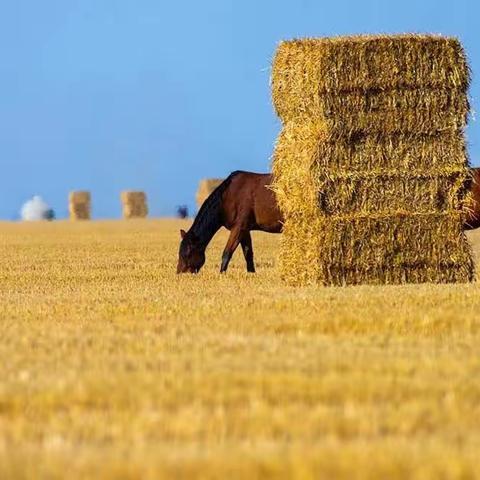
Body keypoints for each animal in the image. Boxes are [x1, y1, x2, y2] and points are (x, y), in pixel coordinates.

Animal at [177, 168, 480, 274]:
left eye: (188, 251)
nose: (181, 273)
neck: (229, 193)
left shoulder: (240, 225)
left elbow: (227, 253)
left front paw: (221, 275)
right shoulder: (246, 229)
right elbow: (248, 255)